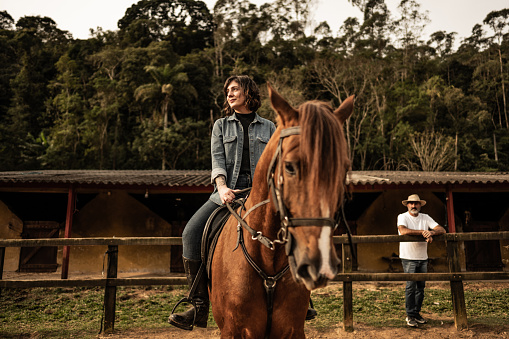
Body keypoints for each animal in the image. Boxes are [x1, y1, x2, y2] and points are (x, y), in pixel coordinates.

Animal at [210, 83, 354, 338]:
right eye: (289, 167)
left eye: (343, 168)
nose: (319, 263)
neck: (268, 256)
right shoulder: (233, 331)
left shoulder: (292, 330)